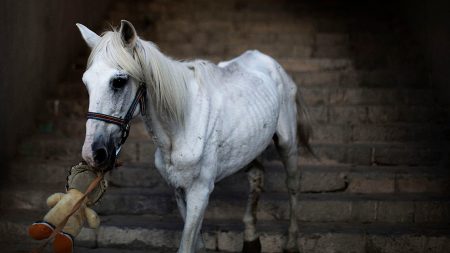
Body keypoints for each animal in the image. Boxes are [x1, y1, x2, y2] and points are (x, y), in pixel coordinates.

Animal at [75, 20, 312, 253]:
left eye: (119, 81)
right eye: (85, 82)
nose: (92, 153)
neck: (182, 125)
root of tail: (267, 60)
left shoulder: (200, 191)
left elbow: (187, 245)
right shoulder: (180, 191)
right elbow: (196, 242)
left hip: (288, 144)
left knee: (293, 184)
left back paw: (292, 243)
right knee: (256, 178)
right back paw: (251, 240)